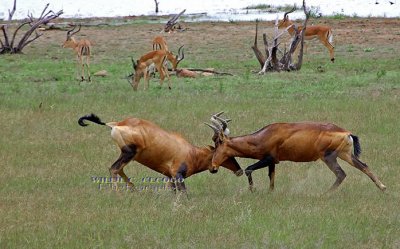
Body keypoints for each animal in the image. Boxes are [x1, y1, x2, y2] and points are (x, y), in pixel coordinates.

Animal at [77, 113, 242, 193]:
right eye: (228, 154)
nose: (239, 171)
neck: (191, 152)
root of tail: (117, 124)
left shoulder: (170, 177)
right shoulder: (178, 175)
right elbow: (183, 194)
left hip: (127, 155)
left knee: (119, 170)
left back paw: (135, 191)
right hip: (128, 153)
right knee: (114, 169)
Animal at [208, 113, 386, 193]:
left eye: (218, 142)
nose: (213, 167)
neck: (265, 135)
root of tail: (346, 132)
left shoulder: (269, 158)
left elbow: (249, 169)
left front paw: (253, 190)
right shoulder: (273, 162)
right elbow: (271, 178)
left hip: (329, 157)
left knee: (341, 174)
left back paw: (325, 194)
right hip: (345, 154)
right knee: (364, 166)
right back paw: (383, 187)